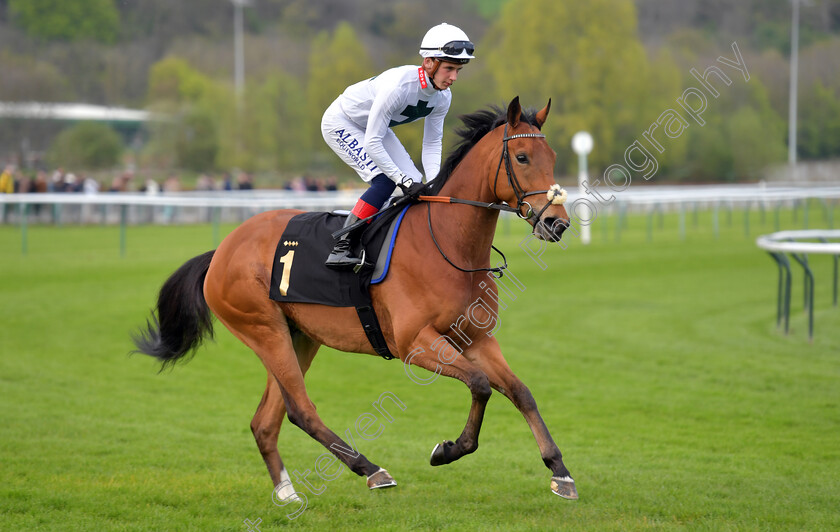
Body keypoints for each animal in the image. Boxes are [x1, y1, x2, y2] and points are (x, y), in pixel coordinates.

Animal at [133, 96, 576, 502]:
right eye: (521, 157)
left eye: (553, 156)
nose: (557, 223)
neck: (448, 244)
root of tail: (221, 251)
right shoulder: (414, 343)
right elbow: (481, 385)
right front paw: (448, 450)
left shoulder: (477, 338)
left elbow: (520, 391)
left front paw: (560, 471)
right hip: (263, 329)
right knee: (300, 409)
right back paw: (370, 469)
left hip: (299, 336)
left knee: (267, 419)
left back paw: (287, 491)